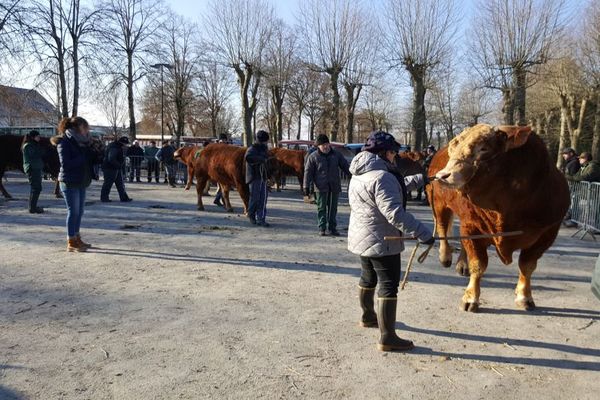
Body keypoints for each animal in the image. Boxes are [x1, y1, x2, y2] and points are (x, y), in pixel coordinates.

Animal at [424, 125, 568, 312]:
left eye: (483, 148)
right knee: (442, 227)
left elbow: (527, 266)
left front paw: (524, 296)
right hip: (439, 204)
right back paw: (445, 256)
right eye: (454, 145)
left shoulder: (547, 233)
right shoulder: (472, 226)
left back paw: (462, 264)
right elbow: (478, 264)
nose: (443, 175)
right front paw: (470, 298)